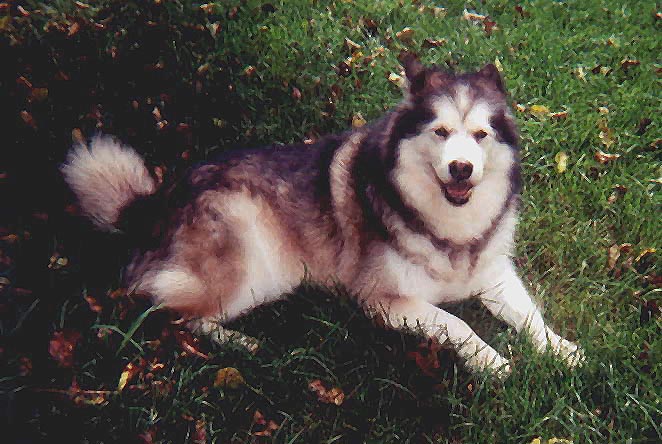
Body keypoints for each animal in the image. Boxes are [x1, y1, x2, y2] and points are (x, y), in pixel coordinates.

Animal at [61, 53, 580, 376]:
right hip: (254, 266)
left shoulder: (492, 273)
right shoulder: (381, 299)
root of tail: (153, 204)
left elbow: (529, 314)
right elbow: (458, 323)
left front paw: (563, 351)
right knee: (171, 312)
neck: (447, 225)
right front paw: (493, 363)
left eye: (480, 135)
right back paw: (243, 344)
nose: (461, 168)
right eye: (441, 131)